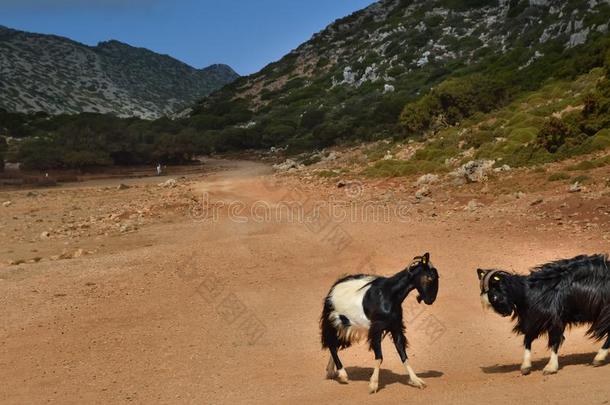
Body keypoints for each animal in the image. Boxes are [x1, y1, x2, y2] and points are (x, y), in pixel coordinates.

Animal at [318, 252, 436, 392]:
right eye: (429, 277)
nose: (431, 300)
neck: (388, 294)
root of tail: (333, 288)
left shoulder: (395, 326)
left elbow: (403, 354)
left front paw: (417, 381)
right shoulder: (376, 328)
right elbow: (379, 356)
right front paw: (373, 384)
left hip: (346, 326)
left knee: (334, 344)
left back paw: (331, 371)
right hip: (335, 321)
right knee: (331, 344)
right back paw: (343, 375)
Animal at [476, 254, 608, 374]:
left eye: (494, 297)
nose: (505, 313)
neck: (530, 292)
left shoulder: (554, 320)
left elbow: (554, 342)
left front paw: (550, 367)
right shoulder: (533, 320)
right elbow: (527, 340)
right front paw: (525, 367)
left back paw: (599, 358)